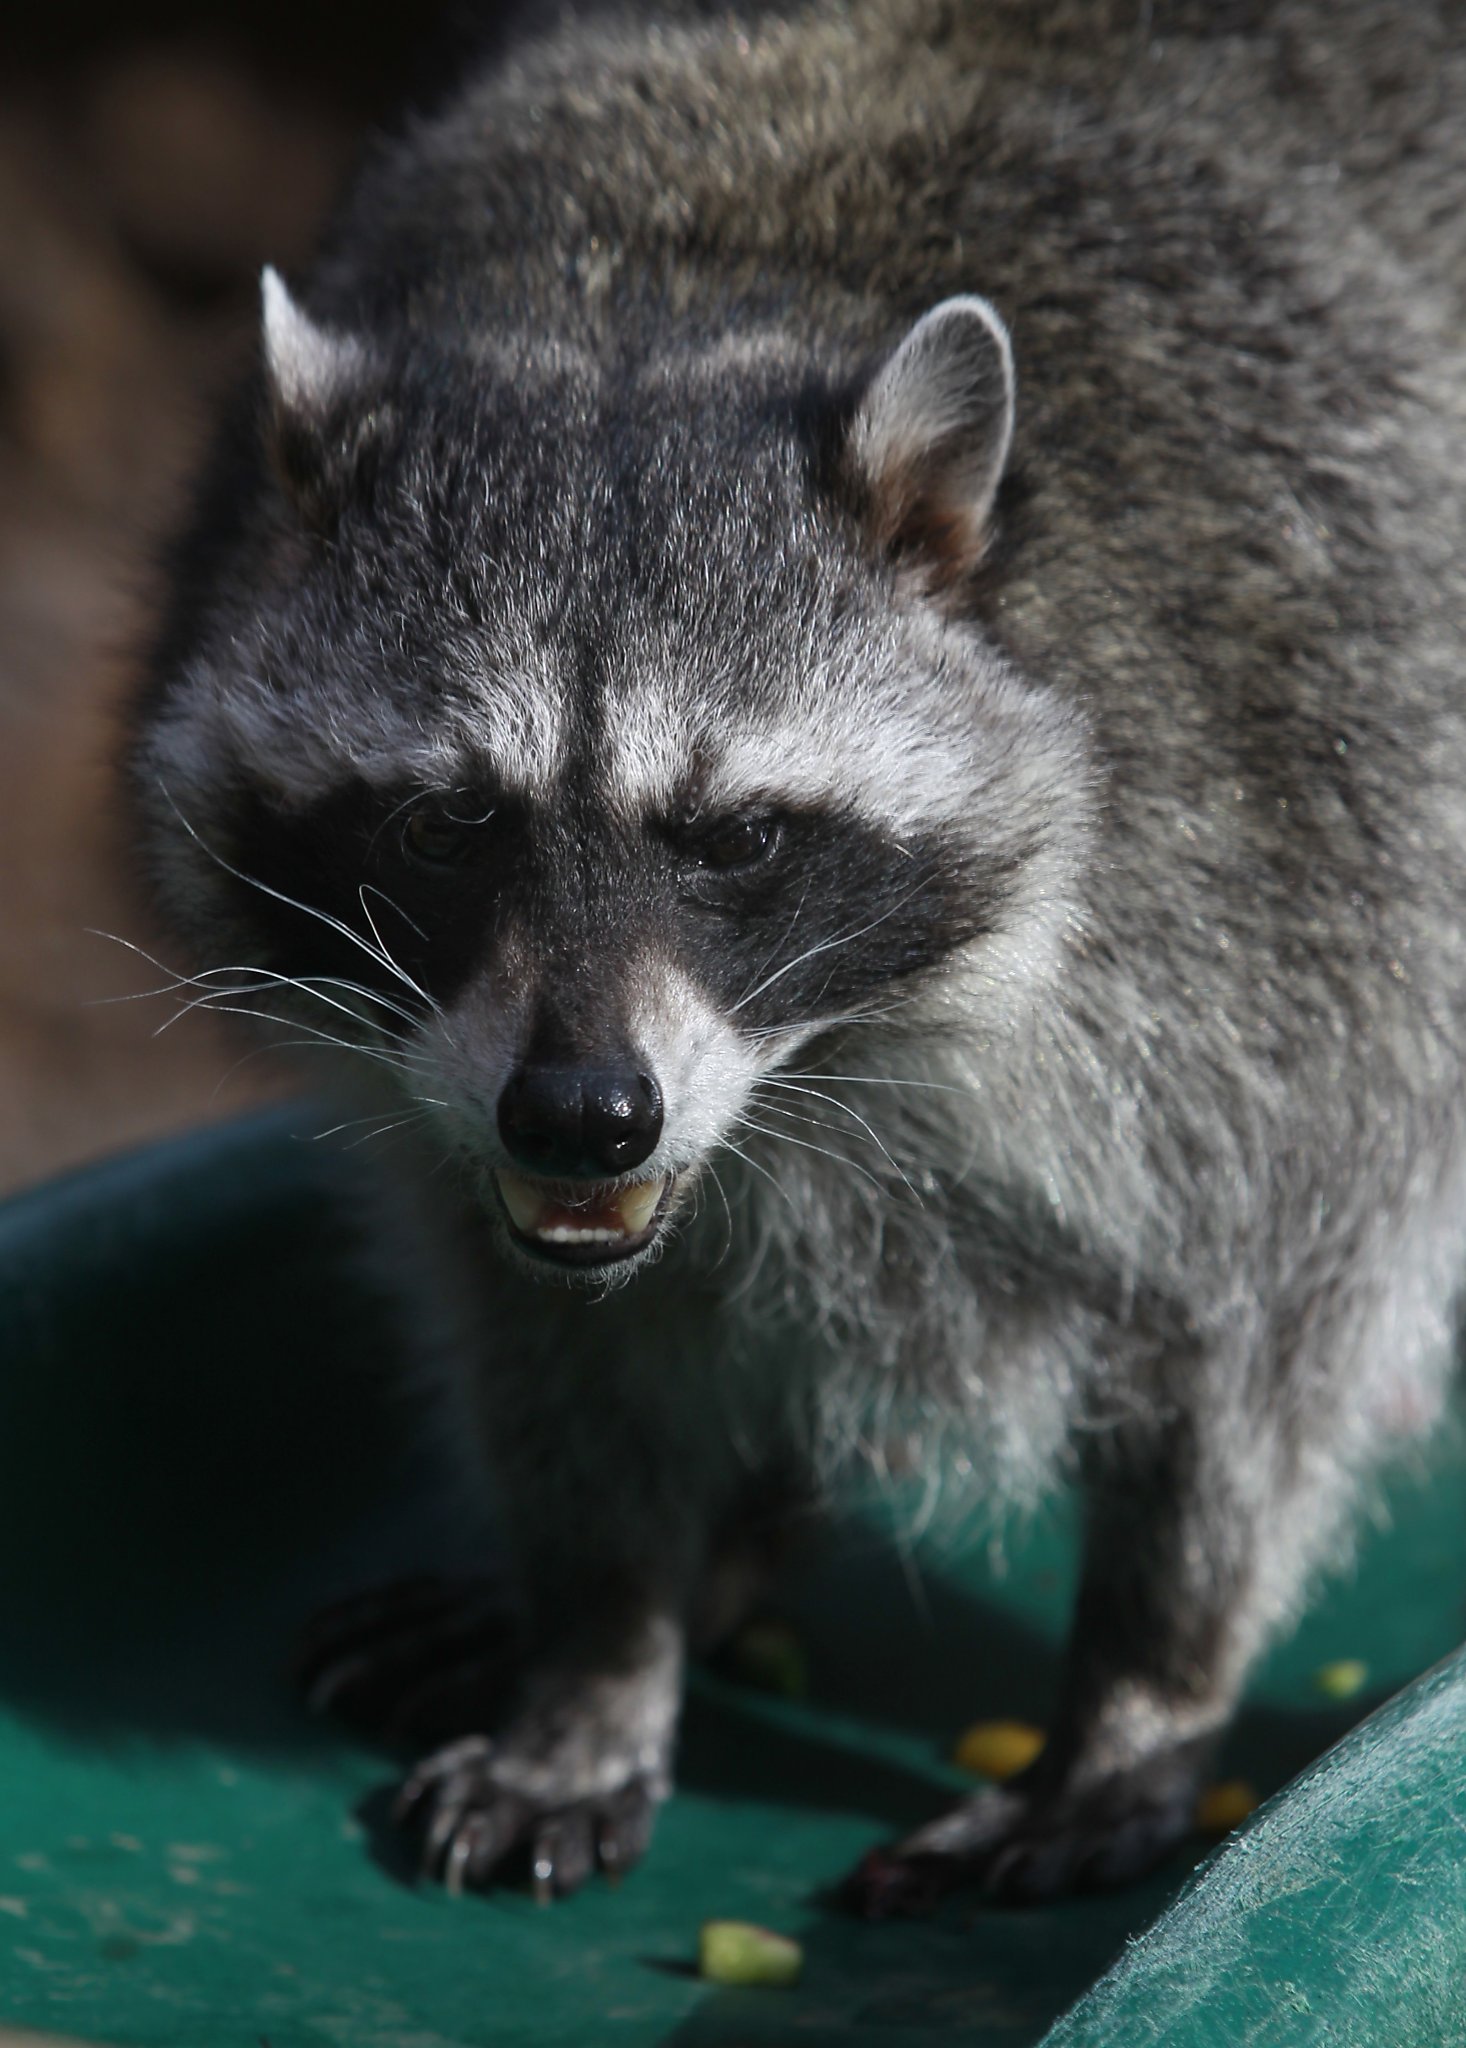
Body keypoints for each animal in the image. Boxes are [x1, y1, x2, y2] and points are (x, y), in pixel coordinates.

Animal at [125, 4, 1466, 1916]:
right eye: (448, 825)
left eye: (739, 838)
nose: (586, 1114)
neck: (681, 292)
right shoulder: (461, 1105)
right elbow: (545, 1328)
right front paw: (602, 1629)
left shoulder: (1315, 851)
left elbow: (1271, 1332)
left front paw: (1145, 1680)